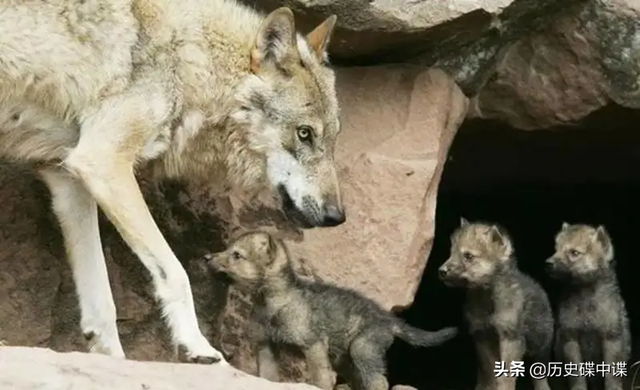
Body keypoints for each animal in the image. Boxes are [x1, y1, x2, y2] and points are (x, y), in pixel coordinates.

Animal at [0, 0, 344, 366]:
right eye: (304, 134)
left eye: (332, 139)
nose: (337, 216)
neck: (188, 59)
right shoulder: (103, 162)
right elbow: (177, 274)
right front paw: (198, 346)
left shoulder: (68, 178)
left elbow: (101, 304)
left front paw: (115, 361)